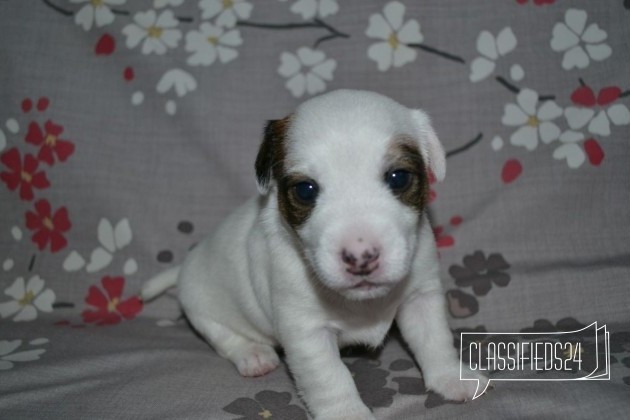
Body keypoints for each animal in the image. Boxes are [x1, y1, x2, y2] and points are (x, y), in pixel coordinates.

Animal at [143, 90, 488, 418]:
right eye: (305, 190)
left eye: (399, 177)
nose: (361, 256)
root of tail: (185, 268)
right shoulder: (306, 331)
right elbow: (329, 377)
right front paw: (347, 414)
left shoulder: (421, 297)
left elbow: (435, 340)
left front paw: (452, 378)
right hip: (202, 305)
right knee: (224, 335)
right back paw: (253, 355)